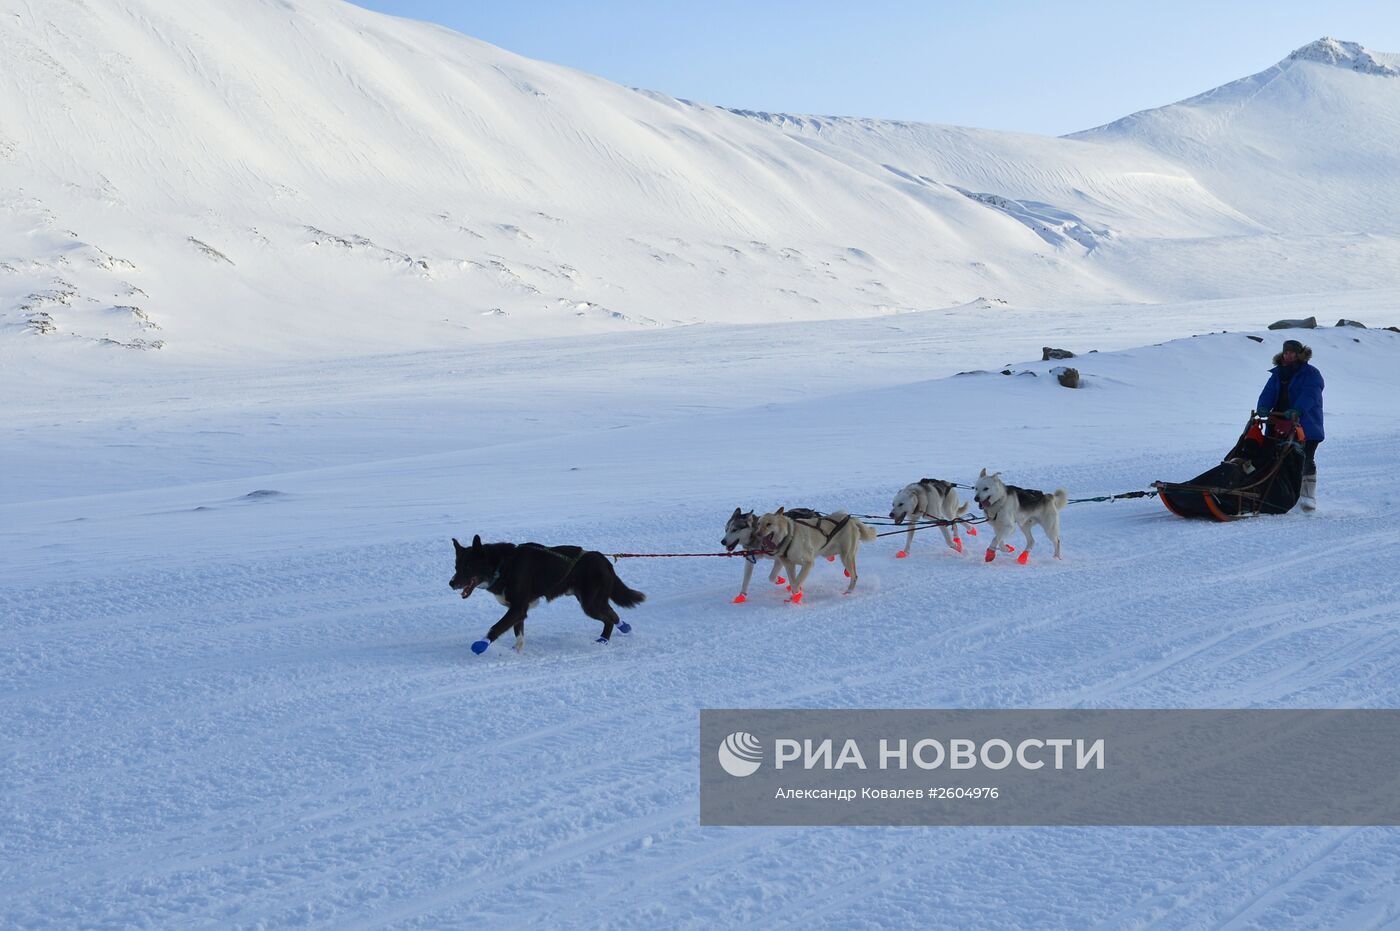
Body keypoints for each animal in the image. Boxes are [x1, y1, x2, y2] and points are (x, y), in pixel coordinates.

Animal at [448, 534, 644, 658]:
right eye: (456, 567)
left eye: (467, 567)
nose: (451, 583)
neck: (501, 565)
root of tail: (604, 560)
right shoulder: (518, 610)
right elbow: (518, 634)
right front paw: (516, 651)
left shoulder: (517, 608)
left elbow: (496, 627)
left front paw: (481, 645)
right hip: (593, 600)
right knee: (613, 614)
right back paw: (623, 628)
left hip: (590, 604)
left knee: (609, 618)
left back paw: (604, 639)